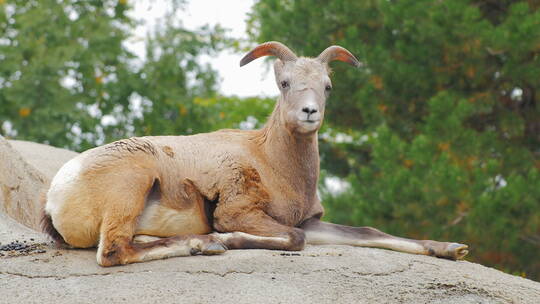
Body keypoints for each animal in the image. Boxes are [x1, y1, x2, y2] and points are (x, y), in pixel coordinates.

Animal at [41, 41, 468, 264]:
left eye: (327, 87)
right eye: (284, 83)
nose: (309, 112)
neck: (274, 165)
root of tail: (56, 195)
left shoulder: (312, 221)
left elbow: (368, 233)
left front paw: (452, 249)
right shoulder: (243, 213)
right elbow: (295, 239)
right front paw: (226, 239)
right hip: (133, 183)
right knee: (113, 251)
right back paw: (205, 244)